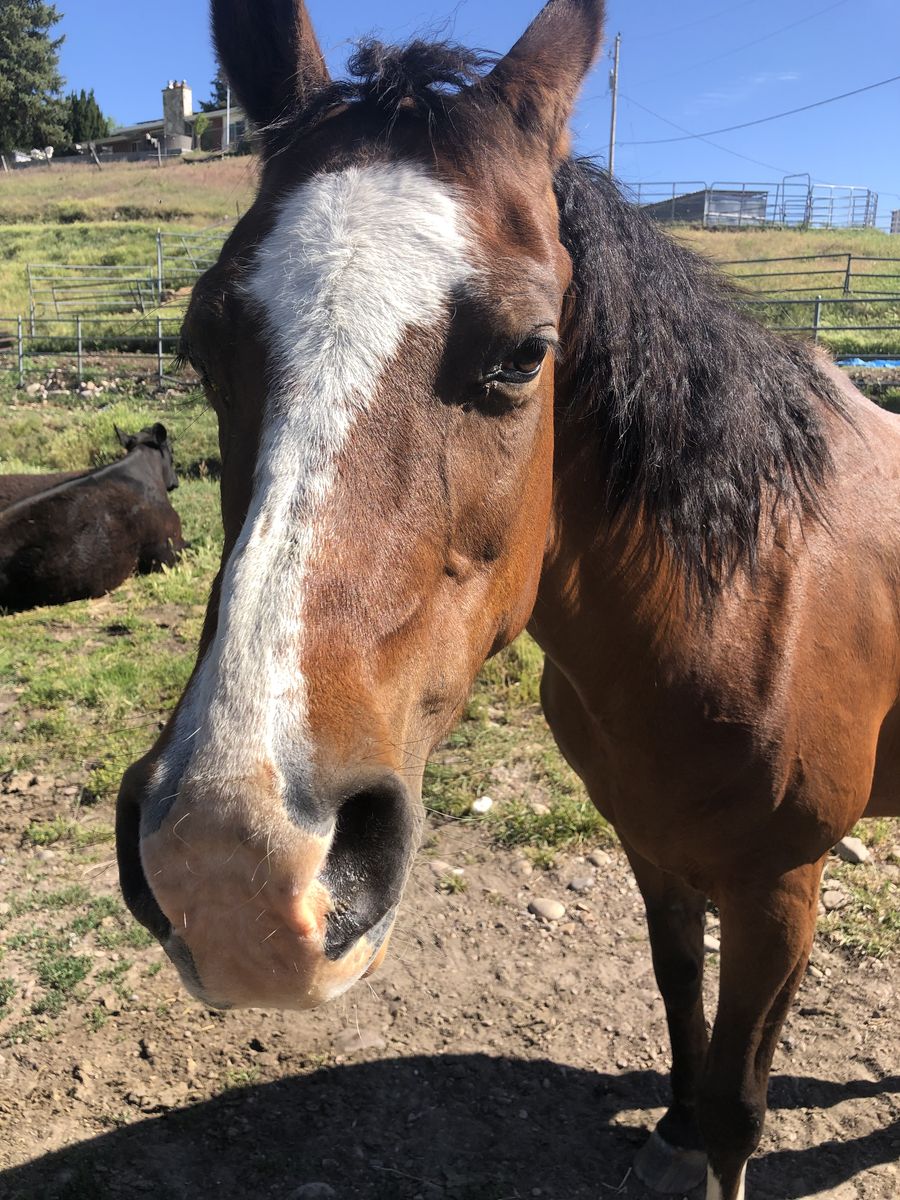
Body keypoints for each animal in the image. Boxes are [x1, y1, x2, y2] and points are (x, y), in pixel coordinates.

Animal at [114, 3, 900, 1198]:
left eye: (528, 354)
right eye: (203, 349)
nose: (229, 862)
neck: (742, 592)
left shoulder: (782, 889)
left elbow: (738, 1104)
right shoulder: (654, 851)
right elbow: (679, 1002)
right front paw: (670, 1131)